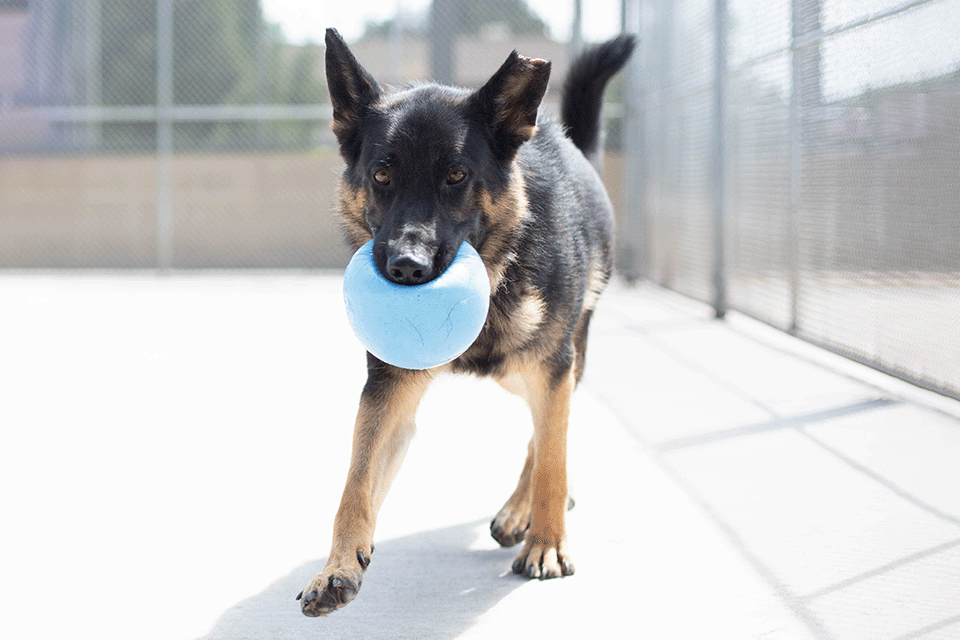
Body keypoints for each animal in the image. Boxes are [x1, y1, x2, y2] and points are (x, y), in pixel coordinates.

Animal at [296, 27, 632, 616]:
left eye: (456, 176)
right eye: (382, 175)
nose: (406, 267)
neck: (499, 265)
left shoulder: (552, 367)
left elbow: (552, 458)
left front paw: (547, 543)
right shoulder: (388, 390)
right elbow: (356, 482)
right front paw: (337, 566)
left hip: (560, 360)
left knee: (549, 437)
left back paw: (528, 514)